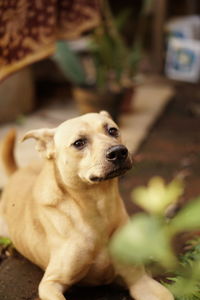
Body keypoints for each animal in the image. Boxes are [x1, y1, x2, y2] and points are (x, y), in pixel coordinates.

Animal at [0, 112, 173, 300]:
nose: (118, 152)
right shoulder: (51, 283)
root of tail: (16, 173)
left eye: (112, 130)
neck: (98, 207)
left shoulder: (140, 280)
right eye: (79, 143)